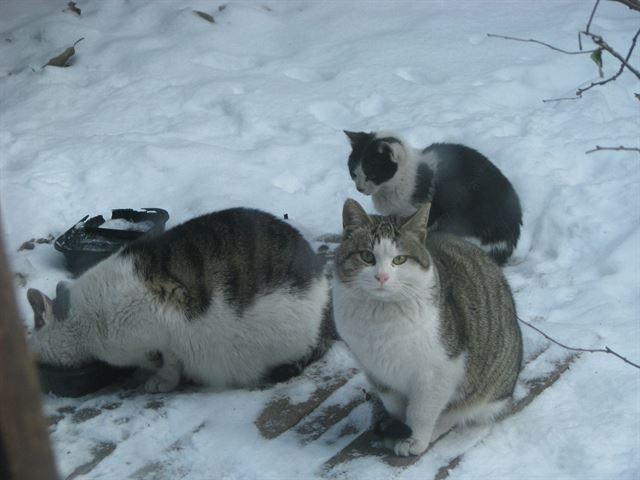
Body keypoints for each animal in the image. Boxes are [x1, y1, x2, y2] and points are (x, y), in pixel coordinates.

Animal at [332, 200, 524, 458]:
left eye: (399, 259)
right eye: (366, 256)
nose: (382, 277)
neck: (380, 319)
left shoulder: (441, 371)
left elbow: (422, 411)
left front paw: (414, 438)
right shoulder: (376, 372)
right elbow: (395, 406)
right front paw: (396, 430)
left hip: (490, 387)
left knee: (460, 411)